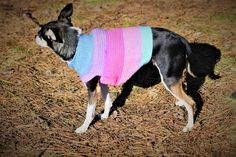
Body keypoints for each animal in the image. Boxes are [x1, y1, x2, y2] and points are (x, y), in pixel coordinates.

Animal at [28, 3, 221, 134]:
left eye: (40, 34)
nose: (34, 36)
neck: (76, 44)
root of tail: (180, 38)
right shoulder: (103, 81)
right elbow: (108, 100)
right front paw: (106, 116)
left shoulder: (91, 87)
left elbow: (89, 111)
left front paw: (83, 128)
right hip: (173, 76)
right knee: (186, 92)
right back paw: (181, 103)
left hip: (168, 78)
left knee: (192, 102)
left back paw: (189, 125)